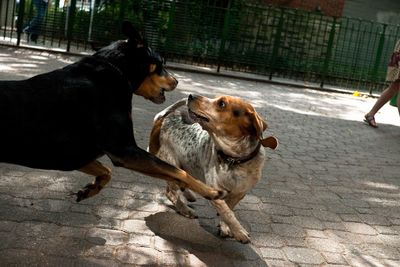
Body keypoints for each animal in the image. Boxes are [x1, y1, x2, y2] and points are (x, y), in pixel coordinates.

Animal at [0, 22, 225, 202]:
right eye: (161, 63)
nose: (177, 81)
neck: (115, 70)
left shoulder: (80, 155)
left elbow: (106, 171)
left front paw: (91, 189)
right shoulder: (124, 150)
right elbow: (179, 172)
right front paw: (211, 192)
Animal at [148, 95, 276, 244]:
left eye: (222, 104)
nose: (191, 95)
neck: (233, 160)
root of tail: (162, 118)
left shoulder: (240, 193)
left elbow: (229, 209)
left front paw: (225, 227)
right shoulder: (215, 191)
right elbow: (228, 212)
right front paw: (239, 232)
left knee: (182, 182)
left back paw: (189, 194)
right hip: (171, 163)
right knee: (171, 192)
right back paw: (185, 209)